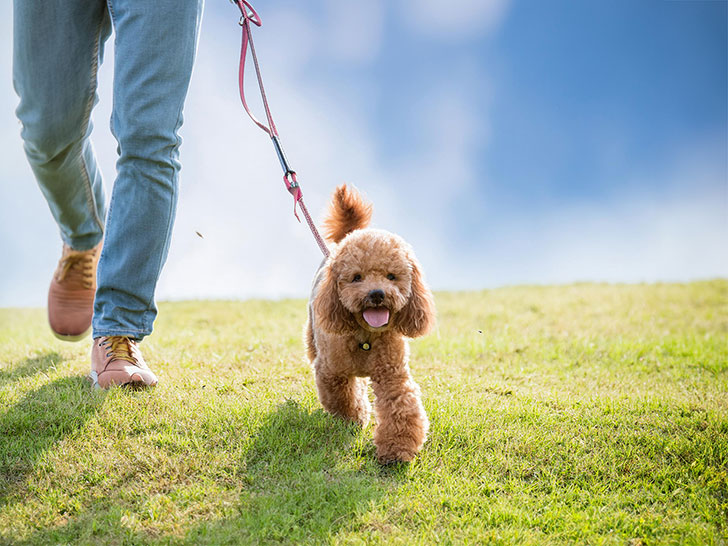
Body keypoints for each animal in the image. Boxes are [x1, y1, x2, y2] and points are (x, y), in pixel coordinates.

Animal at [304, 185, 436, 462]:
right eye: (357, 277)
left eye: (391, 276)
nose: (377, 294)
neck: (365, 336)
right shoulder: (331, 372)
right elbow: (343, 400)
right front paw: (355, 419)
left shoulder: (392, 374)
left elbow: (401, 405)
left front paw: (397, 450)